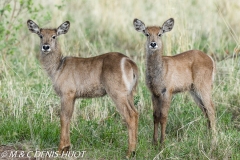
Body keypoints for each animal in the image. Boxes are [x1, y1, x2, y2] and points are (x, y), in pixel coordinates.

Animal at [27, 19, 139, 158]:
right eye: (41, 35)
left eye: (54, 36)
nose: (46, 47)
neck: (58, 67)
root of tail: (130, 63)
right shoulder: (73, 97)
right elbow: (69, 117)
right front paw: (67, 148)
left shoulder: (67, 94)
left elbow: (63, 117)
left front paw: (60, 149)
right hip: (129, 94)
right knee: (136, 113)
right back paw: (134, 150)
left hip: (118, 94)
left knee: (130, 115)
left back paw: (129, 152)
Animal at [133, 18, 216, 146]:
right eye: (147, 33)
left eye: (160, 33)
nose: (153, 44)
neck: (160, 70)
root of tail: (210, 59)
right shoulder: (154, 94)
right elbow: (155, 116)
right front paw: (154, 142)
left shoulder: (167, 92)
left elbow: (163, 116)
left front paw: (162, 142)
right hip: (194, 92)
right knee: (206, 110)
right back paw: (208, 135)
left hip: (203, 87)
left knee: (211, 109)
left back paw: (214, 139)